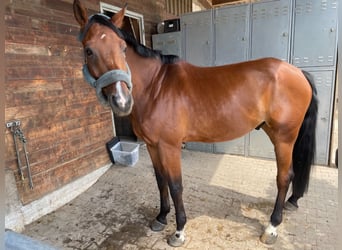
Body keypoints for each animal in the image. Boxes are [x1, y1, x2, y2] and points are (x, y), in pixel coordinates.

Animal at [72, 0, 318, 246]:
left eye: (123, 48)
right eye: (88, 50)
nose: (122, 101)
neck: (156, 87)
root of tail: (298, 72)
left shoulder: (169, 147)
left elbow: (175, 185)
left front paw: (179, 231)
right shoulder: (152, 145)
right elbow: (160, 180)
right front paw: (161, 217)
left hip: (284, 138)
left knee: (284, 177)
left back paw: (272, 227)